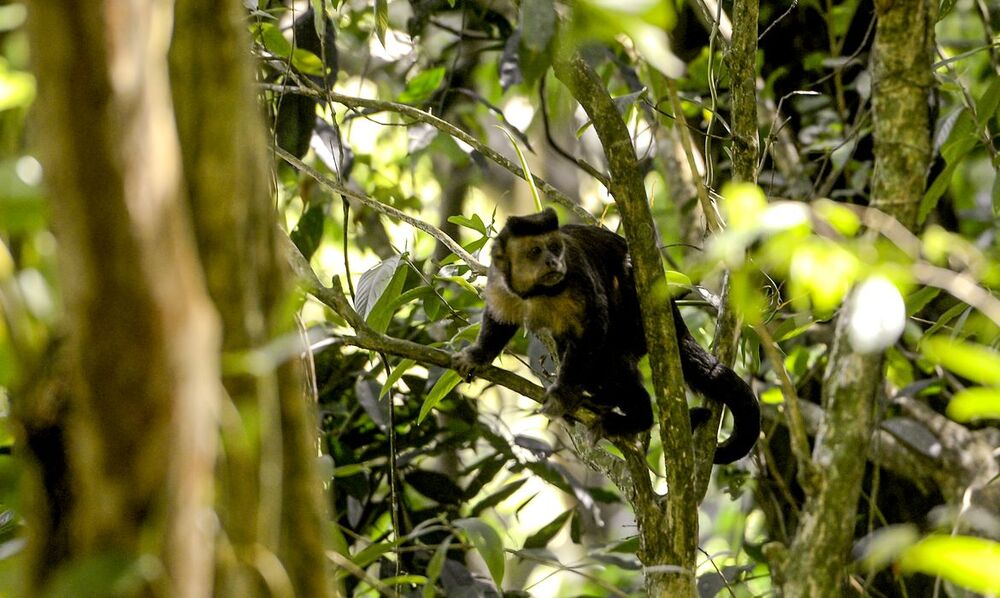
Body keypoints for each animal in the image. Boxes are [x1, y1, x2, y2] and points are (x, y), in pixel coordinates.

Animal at [450, 209, 760, 466]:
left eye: (555, 248)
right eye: (536, 250)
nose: (553, 261)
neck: (537, 291)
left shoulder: (575, 274)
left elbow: (592, 326)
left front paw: (562, 395)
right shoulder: (499, 277)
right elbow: (500, 319)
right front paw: (478, 356)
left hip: (635, 317)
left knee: (609, 356)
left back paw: (637, 417)